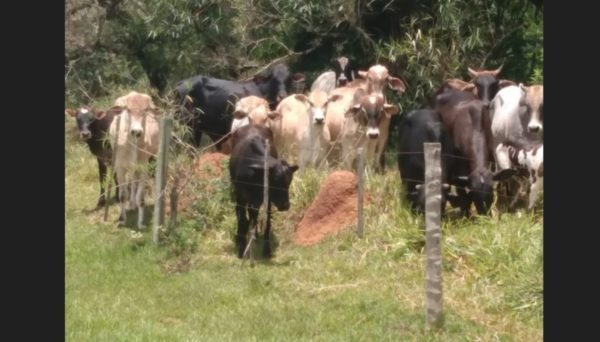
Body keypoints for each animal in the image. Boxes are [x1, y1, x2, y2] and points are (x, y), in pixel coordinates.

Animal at [108, 91, 159, 230]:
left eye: (145, 110)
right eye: (128, 109)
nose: (136, 131)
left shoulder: (143, 167)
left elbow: (140, 197)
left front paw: (141, 223)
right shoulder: (119, 168)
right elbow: (122, 195)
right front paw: (121, 220)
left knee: (134, 182)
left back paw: (133, 203)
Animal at [227, 124, 298, 258]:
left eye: (288, 182)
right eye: (275, 181)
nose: (285, 205)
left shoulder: (267, 201)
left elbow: (267, 222)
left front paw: (266, 250)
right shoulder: (241, 197)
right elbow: (243, 220)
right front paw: (241, 248)